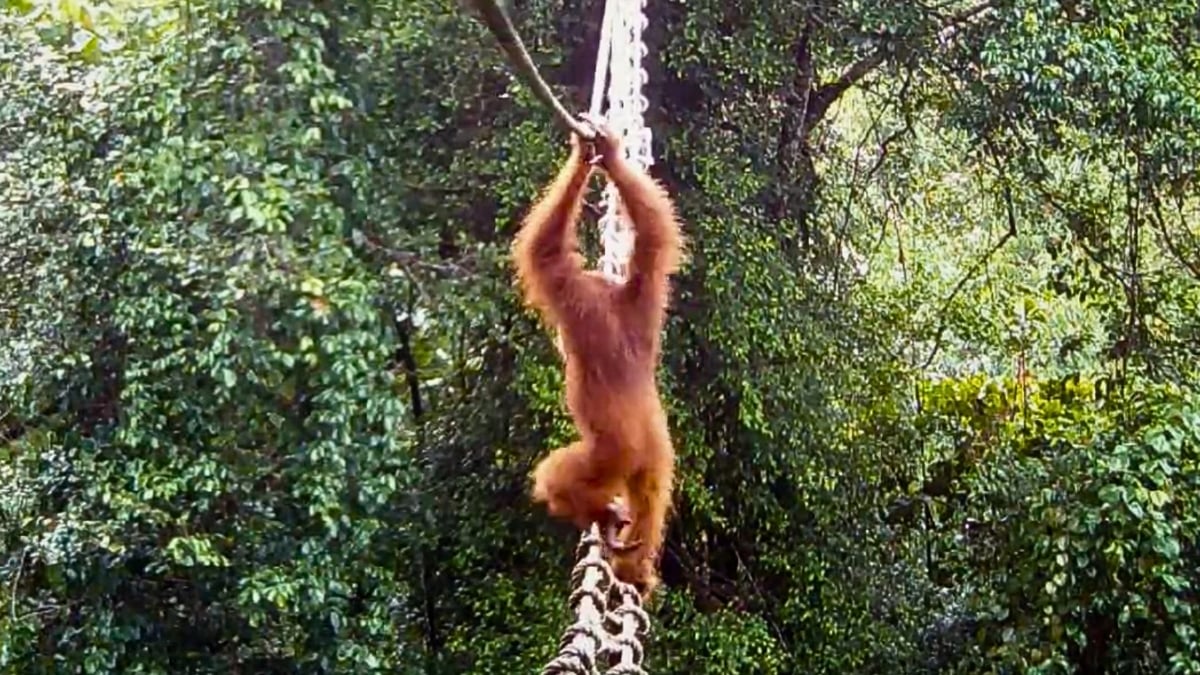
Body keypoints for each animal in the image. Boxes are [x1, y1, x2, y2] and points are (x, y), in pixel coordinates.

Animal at [512, 116, 682, 596]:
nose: (559, 343)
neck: (608, 296)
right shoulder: (644, 291)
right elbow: (655, 234)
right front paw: (612, 158)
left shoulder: (569, 291)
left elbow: (545, 249)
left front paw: (584, 154)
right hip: (655, 459)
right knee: (651, 501)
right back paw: (635, 569)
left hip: (608, 456)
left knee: (554, 477)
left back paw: (598, 514)